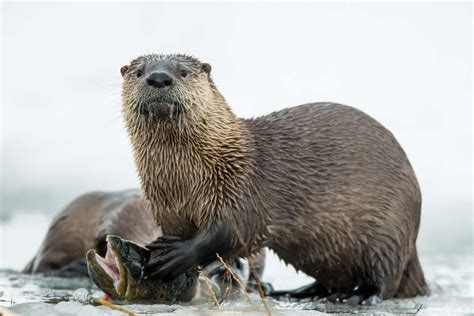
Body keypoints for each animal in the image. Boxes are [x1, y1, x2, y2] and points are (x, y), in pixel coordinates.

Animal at [119, 53, 430, 304]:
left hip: (389, 229)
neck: (186, 179)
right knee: (333, 278)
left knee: (386, 278)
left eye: (183, 71)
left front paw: (176, 255)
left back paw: (360, 296)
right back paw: (300, 291)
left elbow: (229, 232)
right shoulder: (166, 207)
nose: (159, 77)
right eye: (139, 72)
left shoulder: (242, 189)